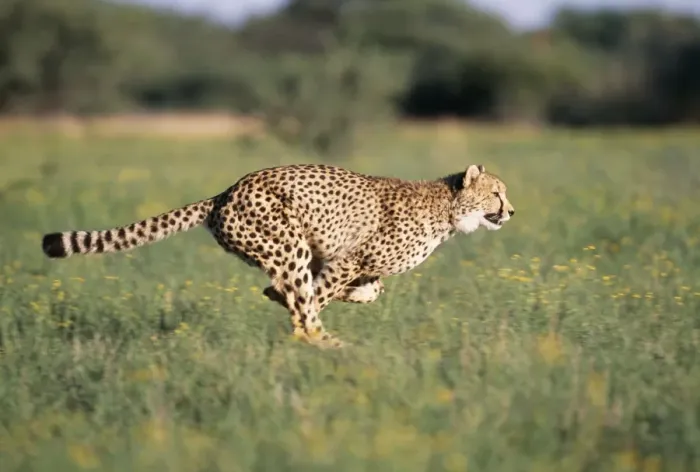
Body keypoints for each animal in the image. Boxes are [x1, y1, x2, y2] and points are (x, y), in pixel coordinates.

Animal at [41, 163, 515, 348]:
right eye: (497, 193)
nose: (511, 211)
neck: (449, 209)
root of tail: (225, 192)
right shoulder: (346, 259)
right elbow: (316, 296)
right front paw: (305, 316)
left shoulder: (341, 260)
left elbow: (368, 290)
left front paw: (356, 296)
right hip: (288, 243)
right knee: (300, 304)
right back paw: (329, 344)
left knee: (293, 293)